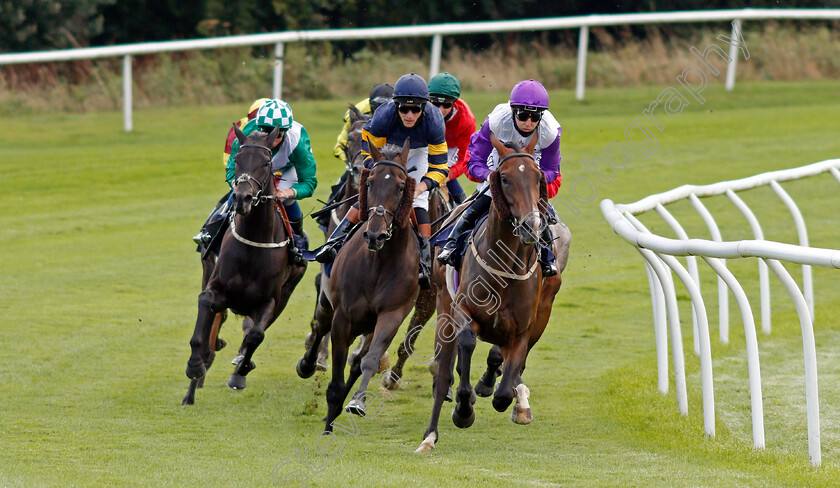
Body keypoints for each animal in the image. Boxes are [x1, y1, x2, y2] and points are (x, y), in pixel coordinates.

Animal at [182, 125, 306, 404]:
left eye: (266, 162)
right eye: (237, 159)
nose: (242, 198)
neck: (253, 243)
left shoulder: (269, 300)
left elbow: (256, 335)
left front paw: (241, 371)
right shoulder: (216, 288)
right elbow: (204, 310)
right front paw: (195, 365)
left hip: (287, 293)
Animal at [298, 138, 424, 430]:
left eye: (402, 186)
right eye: (370, 183)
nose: (375, 235)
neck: (379, 263)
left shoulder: (391, 315)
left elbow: (368, 361)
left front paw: (356, 402)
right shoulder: (343, 317)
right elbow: (336, 371)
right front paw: (329, 422)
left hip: (369, 324)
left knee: (358, 359)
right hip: (327, 305)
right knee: (319, 327)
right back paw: (307, 365)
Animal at [418, 135, 576, 452]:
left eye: (538, 177)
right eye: (504, 178)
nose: (531, 225)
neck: (505, 264)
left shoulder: (525, 328)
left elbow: (505, 387)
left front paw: (508, 397)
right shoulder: (462, 310)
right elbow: (466, 344)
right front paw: (464, 409)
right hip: (443, 305)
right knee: (443, 373)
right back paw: (430, 435)